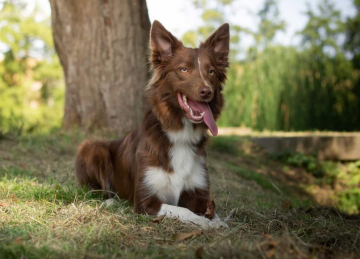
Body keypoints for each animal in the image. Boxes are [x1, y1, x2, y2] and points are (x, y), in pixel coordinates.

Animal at [75, 20, 229, 230]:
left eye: (211, 71)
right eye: (184, 69)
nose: (207, 91)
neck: (179, 135)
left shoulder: (199, 192)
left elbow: (211, 211)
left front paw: (217, 221)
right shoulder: (145, 201)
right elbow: (183, 211)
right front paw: (205, 223)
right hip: (92, 147)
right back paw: (111, 201)